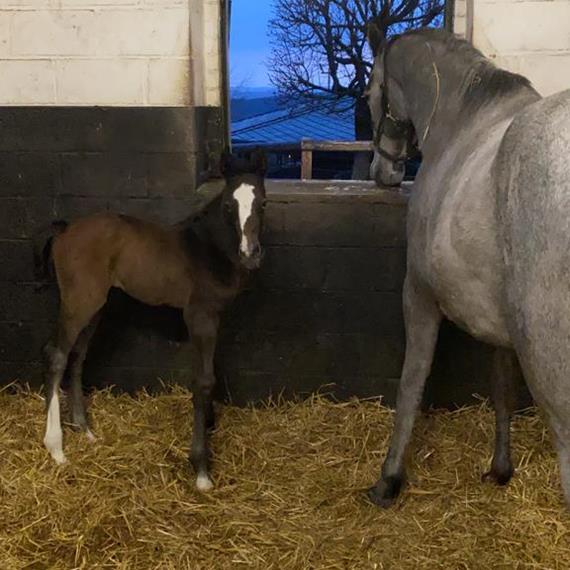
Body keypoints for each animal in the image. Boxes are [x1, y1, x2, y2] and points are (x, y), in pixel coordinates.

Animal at [38, 151, 266, 488]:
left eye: (262, 202)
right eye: (228, 205)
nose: (250, 254)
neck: (207, 249)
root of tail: (63, 231)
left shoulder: (214, 316)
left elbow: (210, 371)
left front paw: (210, 423)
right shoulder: (199, 315)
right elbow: (203, 379)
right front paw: (201, 469)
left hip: (96, 305)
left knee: (77, 356)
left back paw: (85, 430)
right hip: (78, 302)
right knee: (56, 355)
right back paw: (56, 447)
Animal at [364, 24, 568, 508]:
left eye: (370, 92)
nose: (382, 171)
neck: (459, 126)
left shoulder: (417, 292)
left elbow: (412, 381)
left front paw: (389, 479)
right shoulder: (502, 325)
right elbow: (501, 386)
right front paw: (500, 468)